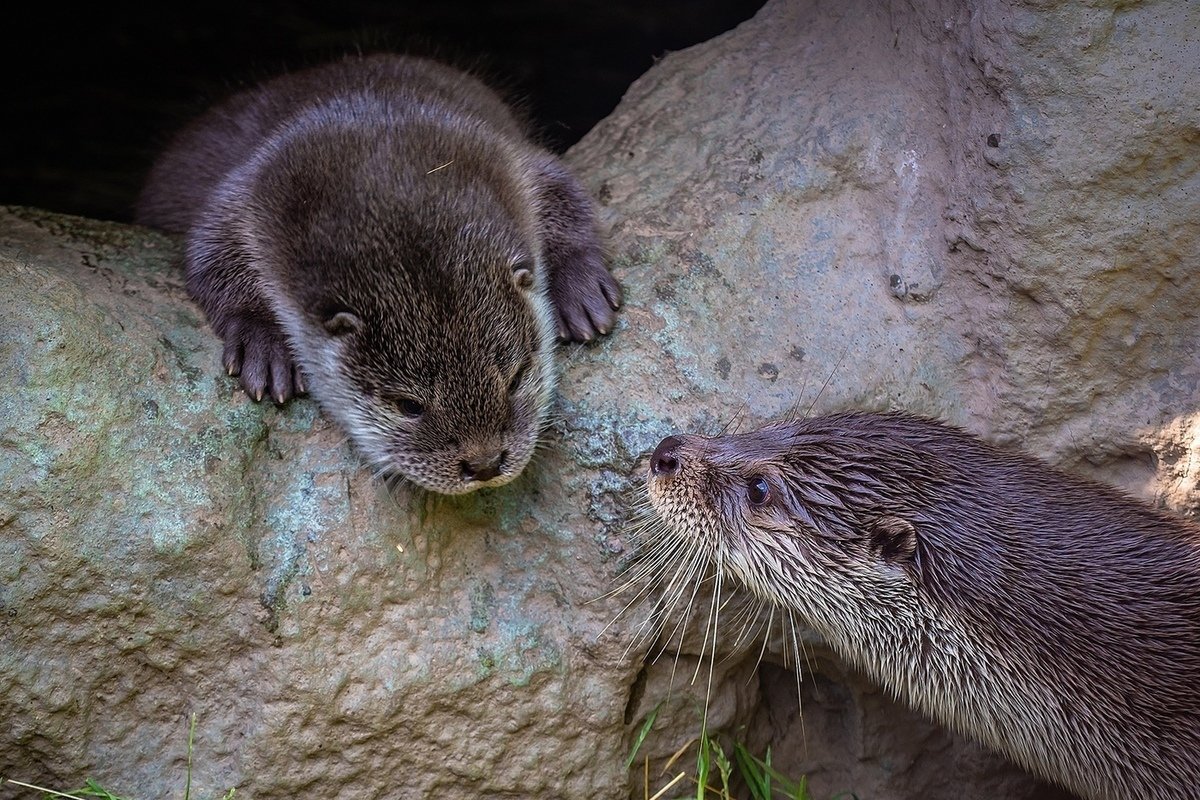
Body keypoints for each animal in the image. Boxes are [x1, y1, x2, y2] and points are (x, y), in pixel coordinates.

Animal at [137, 53, 624, 494]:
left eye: (517, 378)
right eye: (409, 405)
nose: (484, 464)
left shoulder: (508, 164)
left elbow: (565, 191)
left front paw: (580, 288)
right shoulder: (248, 200)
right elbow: (209, 255)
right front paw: (263, 342)